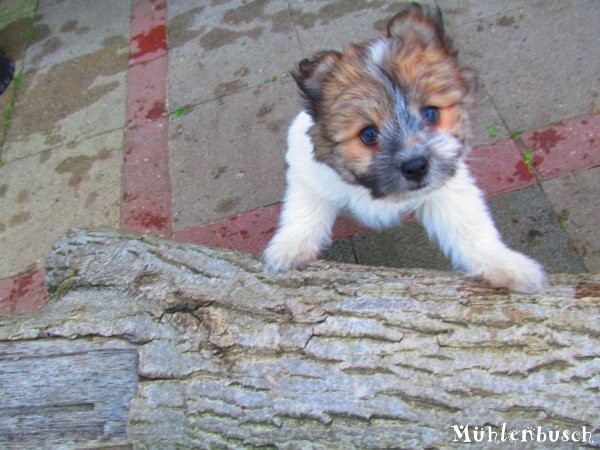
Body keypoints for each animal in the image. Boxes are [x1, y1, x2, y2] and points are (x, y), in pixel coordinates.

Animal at [264, 3, 548, 294]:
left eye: (431, 113)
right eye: (368, 134)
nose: (416, 167)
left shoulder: (448, 187)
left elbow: (468, 225)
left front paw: (503, 263)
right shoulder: (308, 172)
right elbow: (303, 209)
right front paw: (290, 246)